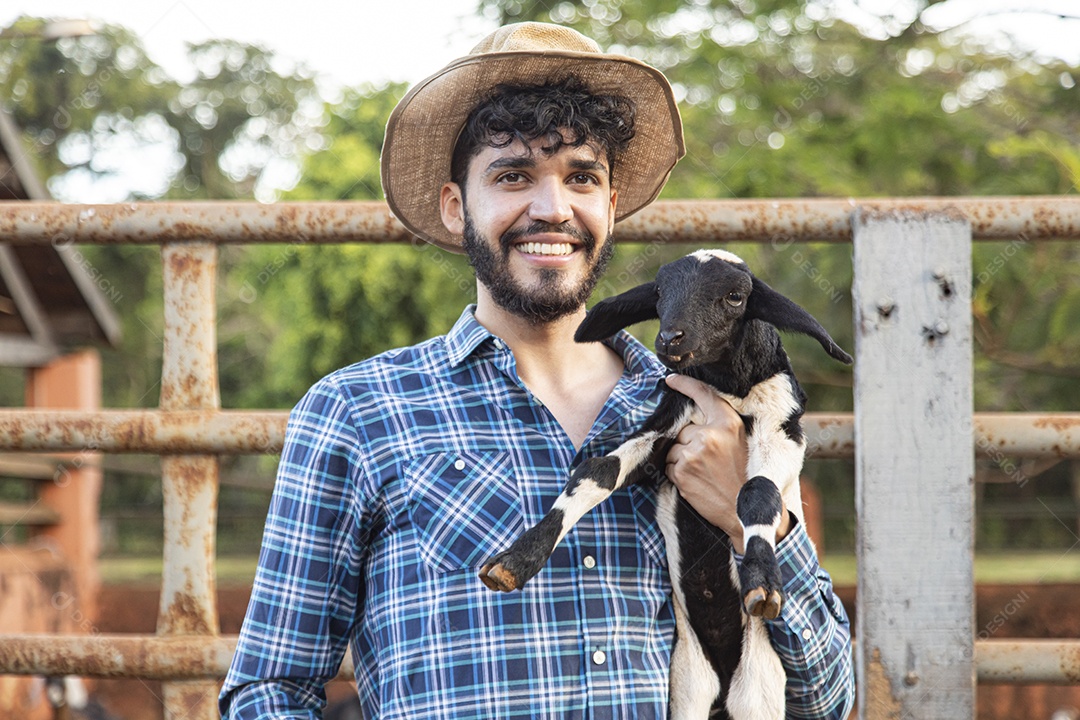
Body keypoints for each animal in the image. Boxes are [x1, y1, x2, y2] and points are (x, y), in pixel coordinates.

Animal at [481, 249, 851, 720]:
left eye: (735, 296)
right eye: (658, 293)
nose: (670, 339)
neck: (727, 386)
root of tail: (723, 691)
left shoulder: (783, 430)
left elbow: (758, 493)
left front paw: (763, 579)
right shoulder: (666, 428)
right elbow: (596, 472)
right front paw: (517, 560)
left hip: (761, 691)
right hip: (688, 687)